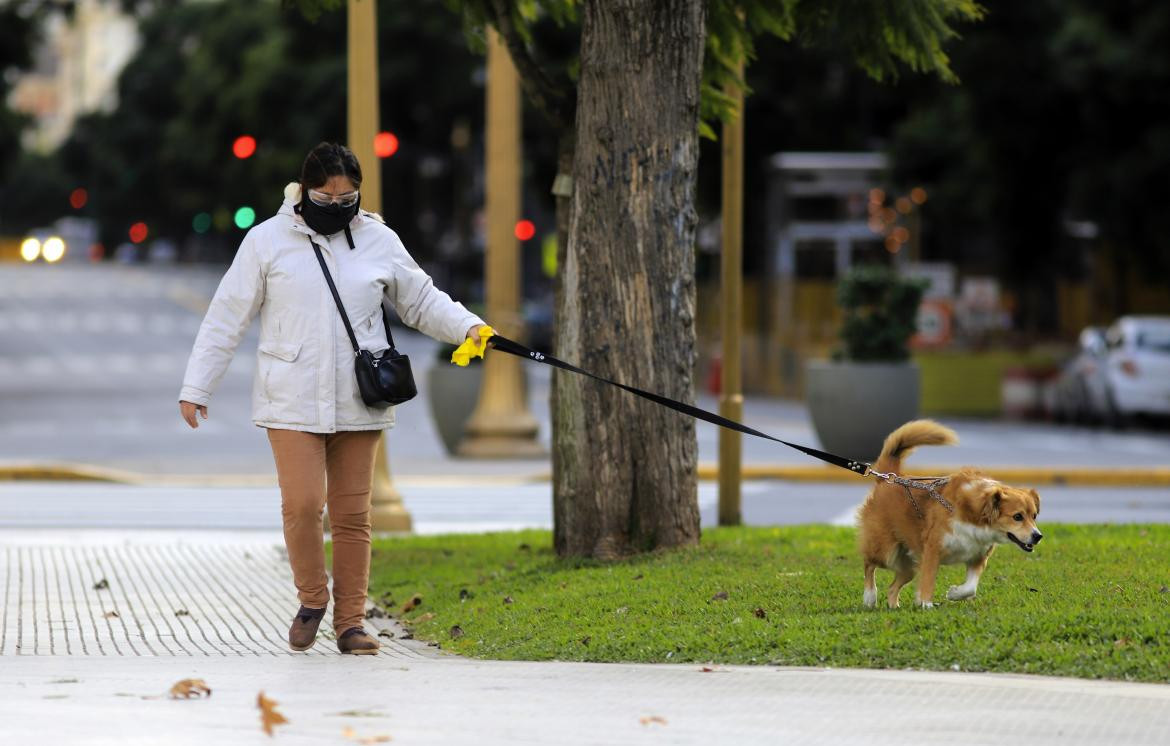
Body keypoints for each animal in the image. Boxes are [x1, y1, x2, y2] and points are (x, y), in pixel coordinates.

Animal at [861, 420, 1043, 608]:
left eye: (1034, 516)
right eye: (1017, 517)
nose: (1038, 536)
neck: (974, 514)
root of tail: (890, 478)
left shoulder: (978, 557)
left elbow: (970, 587)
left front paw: (954, 593)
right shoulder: (932, 551)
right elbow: (928, 581)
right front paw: (926, 604)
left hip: (908, 564)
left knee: (892, 586)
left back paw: (893, 606)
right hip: (885, 550)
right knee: (869, 565)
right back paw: (870, 596)